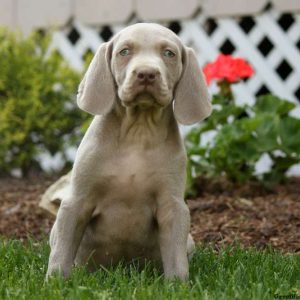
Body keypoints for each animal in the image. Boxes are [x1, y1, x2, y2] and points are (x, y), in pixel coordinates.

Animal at [46, 22, 211, 282]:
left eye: (169, 53)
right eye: (124, 52)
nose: (146, 74)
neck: (138, 132)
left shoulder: (173, 206)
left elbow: (176, 257)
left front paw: (177, 285)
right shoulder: (76, 201)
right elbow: (62, 250)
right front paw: (55, 283)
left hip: (190, 240)